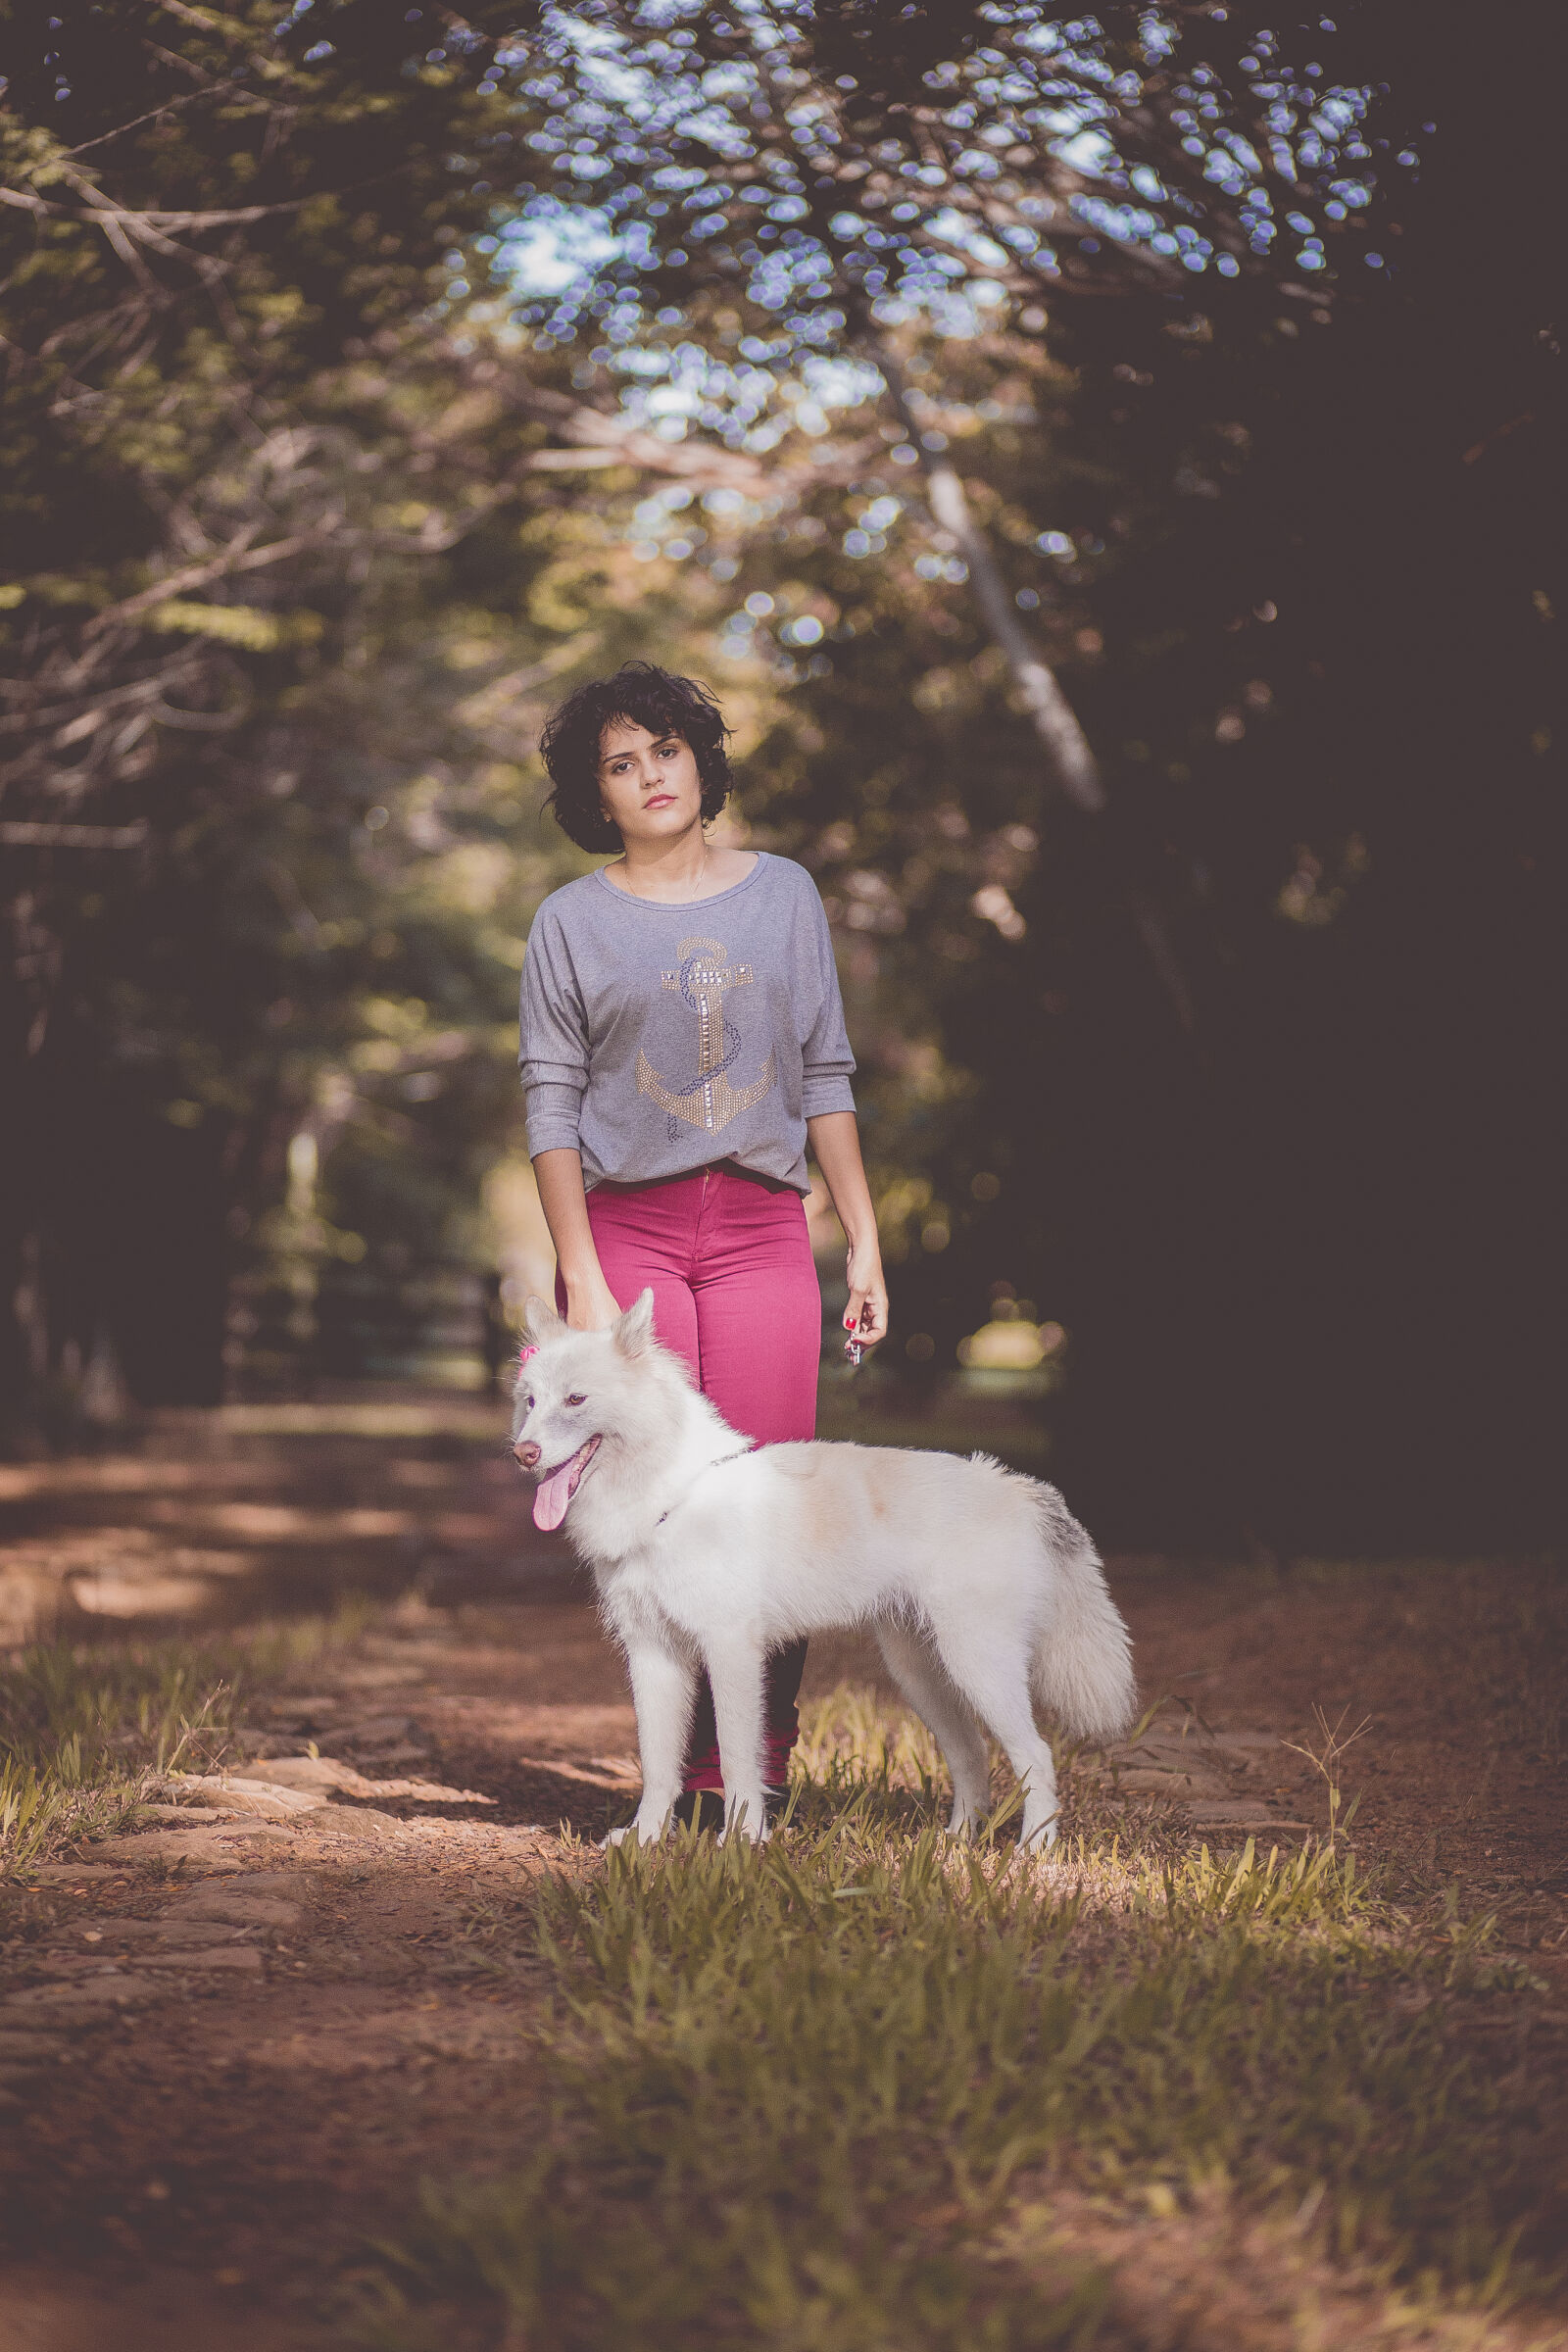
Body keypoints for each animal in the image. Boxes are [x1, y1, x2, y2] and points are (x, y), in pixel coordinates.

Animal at [514, 1289, 1142, 1853]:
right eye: (530, 1401)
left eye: (576, 1399)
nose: (522, 1453)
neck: (673, 1495)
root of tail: (1017, 1488)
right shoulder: (653, 1656)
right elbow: (658, 1765)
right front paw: (644, 1840)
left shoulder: (731, 1653)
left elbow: (738, 1759)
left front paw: (740, 1843)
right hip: (924, 1674)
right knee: (972, 1755)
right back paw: (955, 1844)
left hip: (979, 1665)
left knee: (1037, 1757)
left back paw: (1033, 1854)